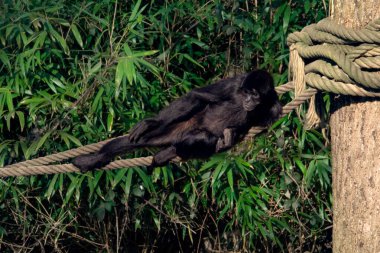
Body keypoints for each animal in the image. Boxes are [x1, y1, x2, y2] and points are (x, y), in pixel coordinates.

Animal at [73, 69, 282, 172]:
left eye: (254, 94)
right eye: (246, 92)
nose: (248, 100)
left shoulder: (275, 107)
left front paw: (231, 134)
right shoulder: (234, 84)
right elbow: (197, 96)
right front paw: (151, 122)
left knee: (204, 140)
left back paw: (168, 152)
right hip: (180, 124)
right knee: (133, 141)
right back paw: (94, 159)